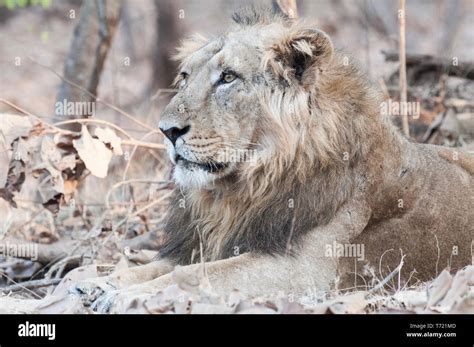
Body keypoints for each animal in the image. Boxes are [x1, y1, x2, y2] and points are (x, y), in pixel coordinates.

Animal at [71, 8, 474, 312]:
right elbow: (151, 269)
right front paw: (94, 284)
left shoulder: (305, 270)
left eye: (228, 77)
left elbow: (199, 275)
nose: (166, 130)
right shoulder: (208, 241)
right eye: (184, 77)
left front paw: (120, 297)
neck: (241, 190)